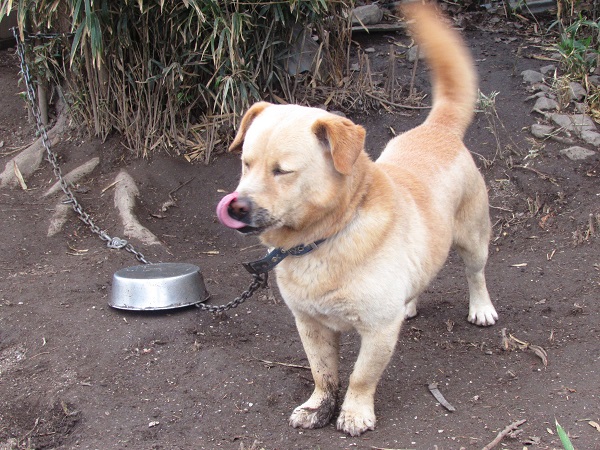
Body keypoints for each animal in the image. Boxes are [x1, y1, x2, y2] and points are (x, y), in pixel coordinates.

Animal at [216, 0, 496, 436]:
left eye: (282, 171)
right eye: (246, 164)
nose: (236, 207)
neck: (320, 240)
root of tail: (438, 130)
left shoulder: (377, 330)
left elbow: (361, 377)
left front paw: (354, 413)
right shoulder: (309, 324)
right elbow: (323, 374)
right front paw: (318, 408)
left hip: (473, 238)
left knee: (475, 273)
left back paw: (481, 308)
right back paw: (410, 304)